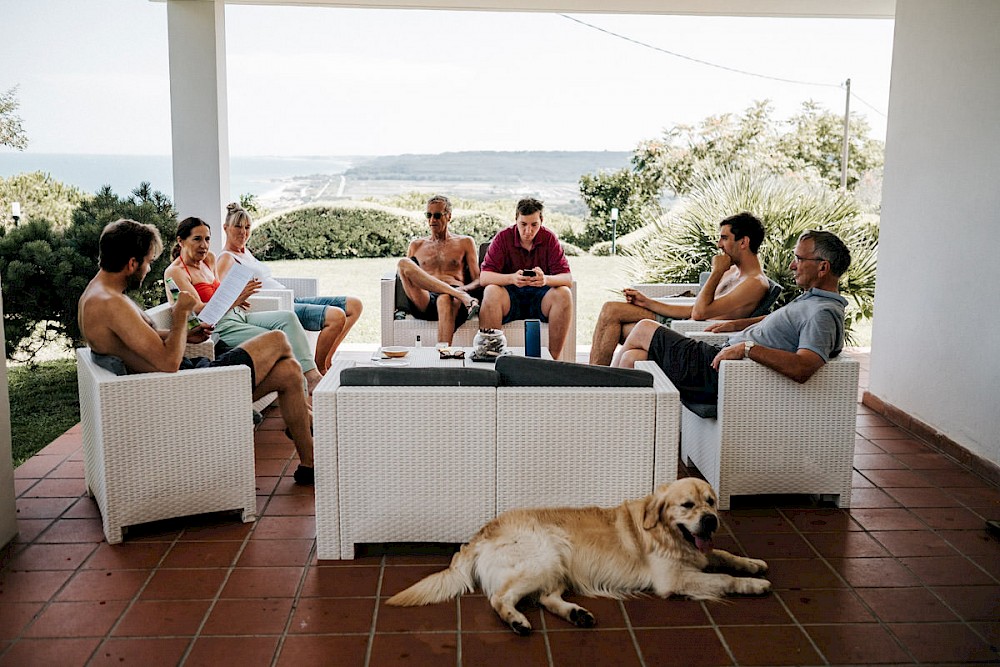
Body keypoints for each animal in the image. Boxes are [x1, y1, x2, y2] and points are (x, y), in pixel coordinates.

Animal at [386, 478, 768, 636]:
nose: (711, 520)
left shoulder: (699, 556)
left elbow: (724, 555)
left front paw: (753, 564)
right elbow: (722, 578)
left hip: (557, 565)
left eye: (711, 502)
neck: (667, 534)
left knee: (546, 598)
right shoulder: (674, 579)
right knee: (500, 598)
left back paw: (577, 614)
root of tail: (479, 534)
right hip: (544, 557)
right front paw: (754, 584)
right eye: (687, 505)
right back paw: (517, 621)